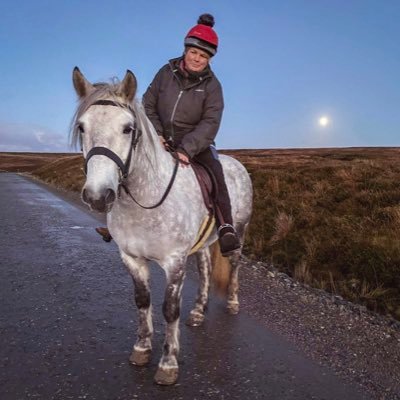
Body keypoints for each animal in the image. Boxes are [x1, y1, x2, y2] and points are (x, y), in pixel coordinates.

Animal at [71, 68, 253, 384]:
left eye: (128, 128)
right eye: (82, 127)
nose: (97, 196)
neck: (145, 200)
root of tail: (237, 164)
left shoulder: (174, 262)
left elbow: (169, 310)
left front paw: (168, 363)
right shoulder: (131, 258)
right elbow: (142, 301)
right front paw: (142, 348)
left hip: (238, 231)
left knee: (233, 263)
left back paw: (231, 301)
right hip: (202, 242)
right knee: (206, 269)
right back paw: (198, 311)